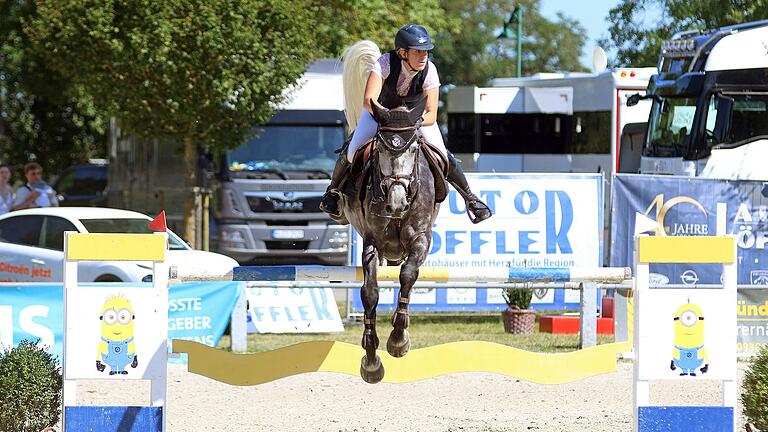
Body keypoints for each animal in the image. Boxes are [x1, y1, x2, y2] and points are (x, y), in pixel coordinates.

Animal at [338, 41, 440, 384]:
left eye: (414, 148)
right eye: (381, 148)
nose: (396, 203)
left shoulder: (421, 238)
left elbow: (408, 275)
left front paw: (398, 340)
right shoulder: (371, 241)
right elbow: (369, 293)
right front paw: (371, 360)